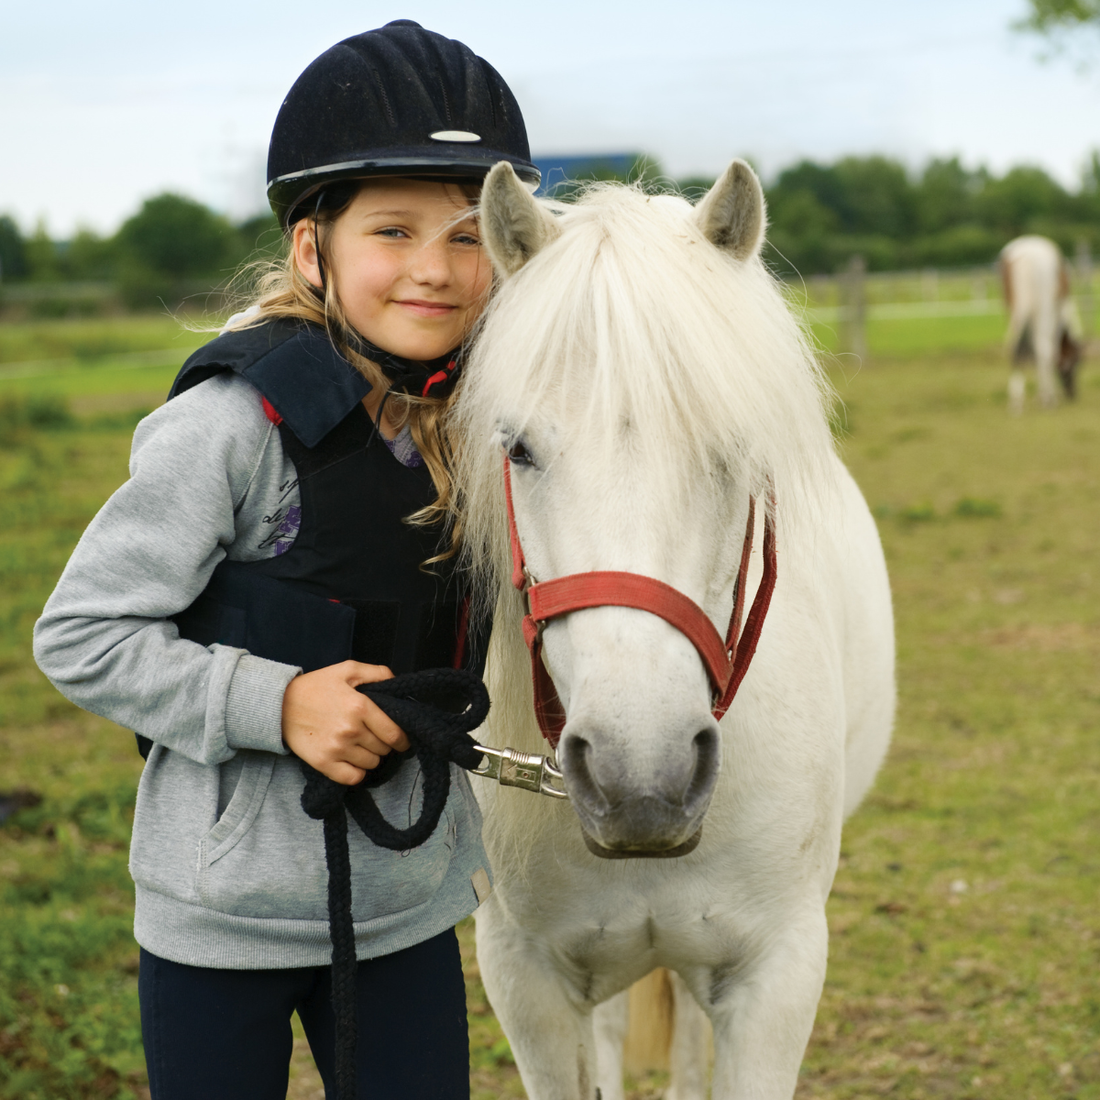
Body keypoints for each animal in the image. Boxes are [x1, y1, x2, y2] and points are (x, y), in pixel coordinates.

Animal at [1000, 235, 1084, 412]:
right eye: (1075, 363)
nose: (1072, 394)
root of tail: (1027, 257)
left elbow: (1028, 349)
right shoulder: (1056, 315)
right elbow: (1051, 351)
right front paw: (1048, 395)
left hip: (1015, 309)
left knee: (1016, 347)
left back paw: (1016, 402)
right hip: (1044, 308)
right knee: (1043, 348)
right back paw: (1047, 399)